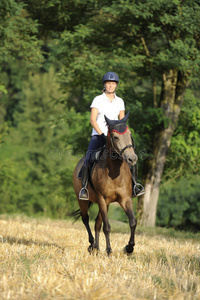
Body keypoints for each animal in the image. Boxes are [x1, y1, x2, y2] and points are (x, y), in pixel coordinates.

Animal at [72, 112, 138, 255]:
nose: (132, 158)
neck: (114, 172)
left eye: (130, 134)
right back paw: (92, 244)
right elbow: (107, 227)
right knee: (85, 219)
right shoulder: (102, 199)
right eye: (115, 137)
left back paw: (96, 247)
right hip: (83, 201)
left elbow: (132, 222)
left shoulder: (125, 198)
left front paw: (129, 248)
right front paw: (109, 251)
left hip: (105, 204)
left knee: (97, 223)